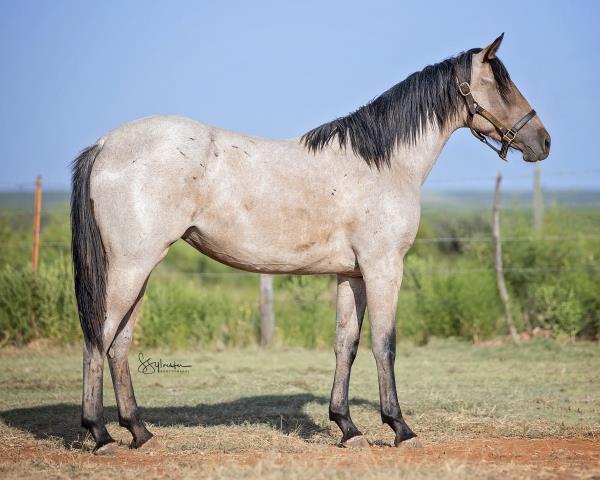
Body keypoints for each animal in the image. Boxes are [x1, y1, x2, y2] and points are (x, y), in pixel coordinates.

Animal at [69, 32, 548, 454]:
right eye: (502, 85)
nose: (543, 141)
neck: (383, 163)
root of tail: (105, 144)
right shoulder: (384, 267)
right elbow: (385, 344)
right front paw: (400, 428)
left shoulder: (352, 274)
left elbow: (346, 345)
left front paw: (347, 428)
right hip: (130, 267)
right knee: (98, 339)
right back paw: (101, 436)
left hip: (139, 270)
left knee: (119, 344)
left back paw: (140, 432)